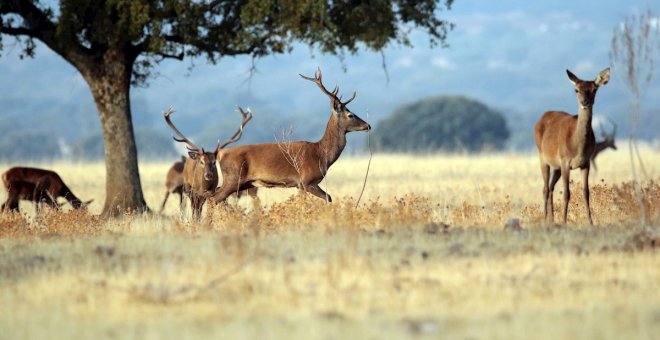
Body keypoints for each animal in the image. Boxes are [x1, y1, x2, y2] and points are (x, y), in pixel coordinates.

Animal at [209, 67, 368, 205]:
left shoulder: (300, 185)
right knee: (213, 198)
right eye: (350, 115)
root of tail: (221, 153)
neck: (322, 155)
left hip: (242, 183)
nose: (368, 126)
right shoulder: (306, 181)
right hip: (233, 178)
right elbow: (327, 198)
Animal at [532, 67, 612, 224]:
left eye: (594, 89)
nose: (585, 102)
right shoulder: (565, 161)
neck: (577, 146)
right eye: (576, 89)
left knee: (551, 187)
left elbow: (586, 192)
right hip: (543, 157)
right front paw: (564, 221)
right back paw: (545, 220)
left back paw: (552, 220)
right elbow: (567, 193)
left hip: (556, 166)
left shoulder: (586, 162)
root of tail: (540, 118)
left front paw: (590, 222)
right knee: (545, 188)